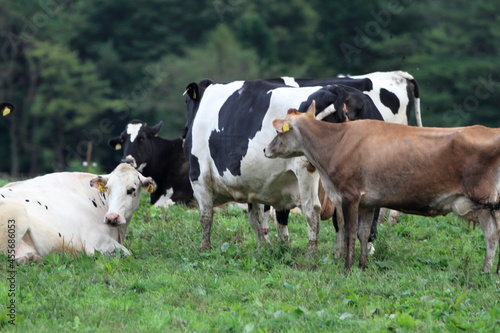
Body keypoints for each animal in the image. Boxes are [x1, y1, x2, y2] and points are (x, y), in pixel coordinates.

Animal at [184, 79, 382, 250]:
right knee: (344, 215)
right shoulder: (254, 183)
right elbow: (257, 218)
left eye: (187, 101)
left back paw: (312, 255)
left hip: (307, 171)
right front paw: (265, 248)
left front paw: (205, 248)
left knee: (312, 212)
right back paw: (340, 253)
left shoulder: (199, 176)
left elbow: (206, 215)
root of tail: (337, 89)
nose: (184, 131)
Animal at [264, 102, 498, 272]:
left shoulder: (349, 196)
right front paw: (361, 266)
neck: (337, 143)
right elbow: (363, 233)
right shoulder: (368, 203)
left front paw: (347, 268)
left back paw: (486, 272)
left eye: (279, 132)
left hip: (485, 202)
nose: (266, 149)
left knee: (492, 235)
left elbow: (349, 233)